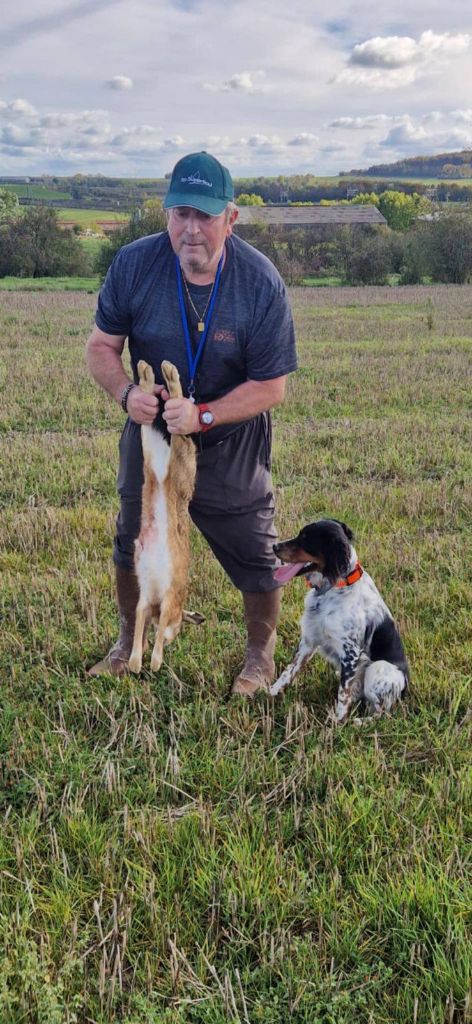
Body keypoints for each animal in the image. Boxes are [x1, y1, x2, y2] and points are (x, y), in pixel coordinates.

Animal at [270, 516, 407, 724]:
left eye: (306, 538)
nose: (274, 546)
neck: (335, 587)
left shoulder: (350, 652)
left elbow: (343, 693)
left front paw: (338, 722)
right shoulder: (308, 641)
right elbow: (289, 670)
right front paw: (270, 693)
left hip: (378, 668)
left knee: (381, 712)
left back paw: (360, 722)